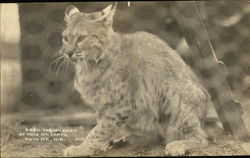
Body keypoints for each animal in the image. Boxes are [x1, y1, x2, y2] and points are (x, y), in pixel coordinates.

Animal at [59, 3, 210, 156]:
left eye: (81, 38)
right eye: (65, 38)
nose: (68, 53)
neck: (89, 64)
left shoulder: (120, 106)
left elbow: (99, 130)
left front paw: (81, 148)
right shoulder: (101, 105)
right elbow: (102, 126)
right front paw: (97, 146)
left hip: (172, 95)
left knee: (203, 138)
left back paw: (177, 145)